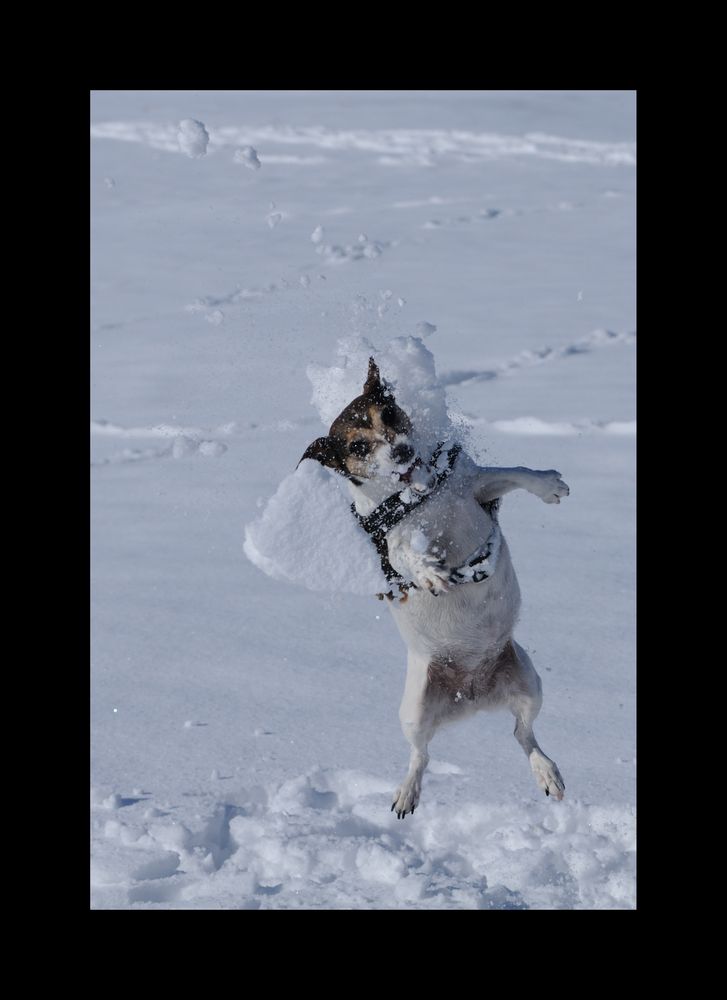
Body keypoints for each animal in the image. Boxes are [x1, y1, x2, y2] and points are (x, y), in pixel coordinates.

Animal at [300, 360, 568, 820]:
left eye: (388, 414)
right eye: (358, 446)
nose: (401, 452)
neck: (418, 492)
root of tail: (472, 693)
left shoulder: (476, 484)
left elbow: (514, 473)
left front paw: (548, 484)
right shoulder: (393, 545)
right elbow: (408, 554)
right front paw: (428, 573)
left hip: (528, 684)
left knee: (523, 734)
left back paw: (546, 771)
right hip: (414, 711)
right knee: (420, 755)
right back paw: (408, 791)